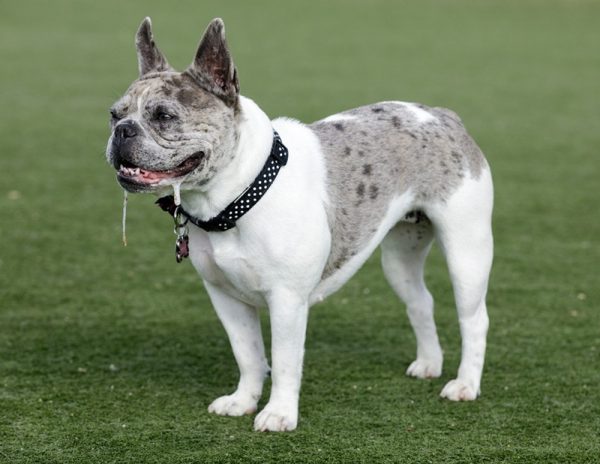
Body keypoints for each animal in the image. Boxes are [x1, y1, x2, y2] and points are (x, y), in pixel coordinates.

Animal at [106, 17, 492, 432]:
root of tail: (441, 115)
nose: (122, 129)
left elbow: (285, 361)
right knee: (421, 300)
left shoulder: (287, 301)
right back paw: (429, 363)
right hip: (399, 258)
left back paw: (465, 384)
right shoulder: (225, 298)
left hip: (467, 253)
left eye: (164, 116)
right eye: (114, 114)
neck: (236, 198)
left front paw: (278, 413)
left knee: (474, 319)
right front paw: (243, 401)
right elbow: (248, 354)